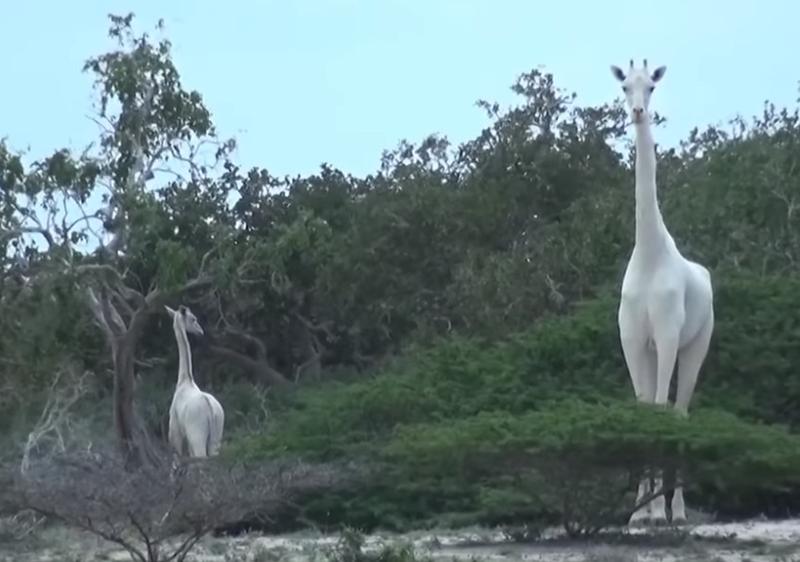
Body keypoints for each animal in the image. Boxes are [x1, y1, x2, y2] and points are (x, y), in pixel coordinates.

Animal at [165, 305, 225, 458]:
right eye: (193, 319)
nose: (200, 332)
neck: (184, 380)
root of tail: (211, 409)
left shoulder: (176, 436)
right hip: (216, 438)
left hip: (197, 436)